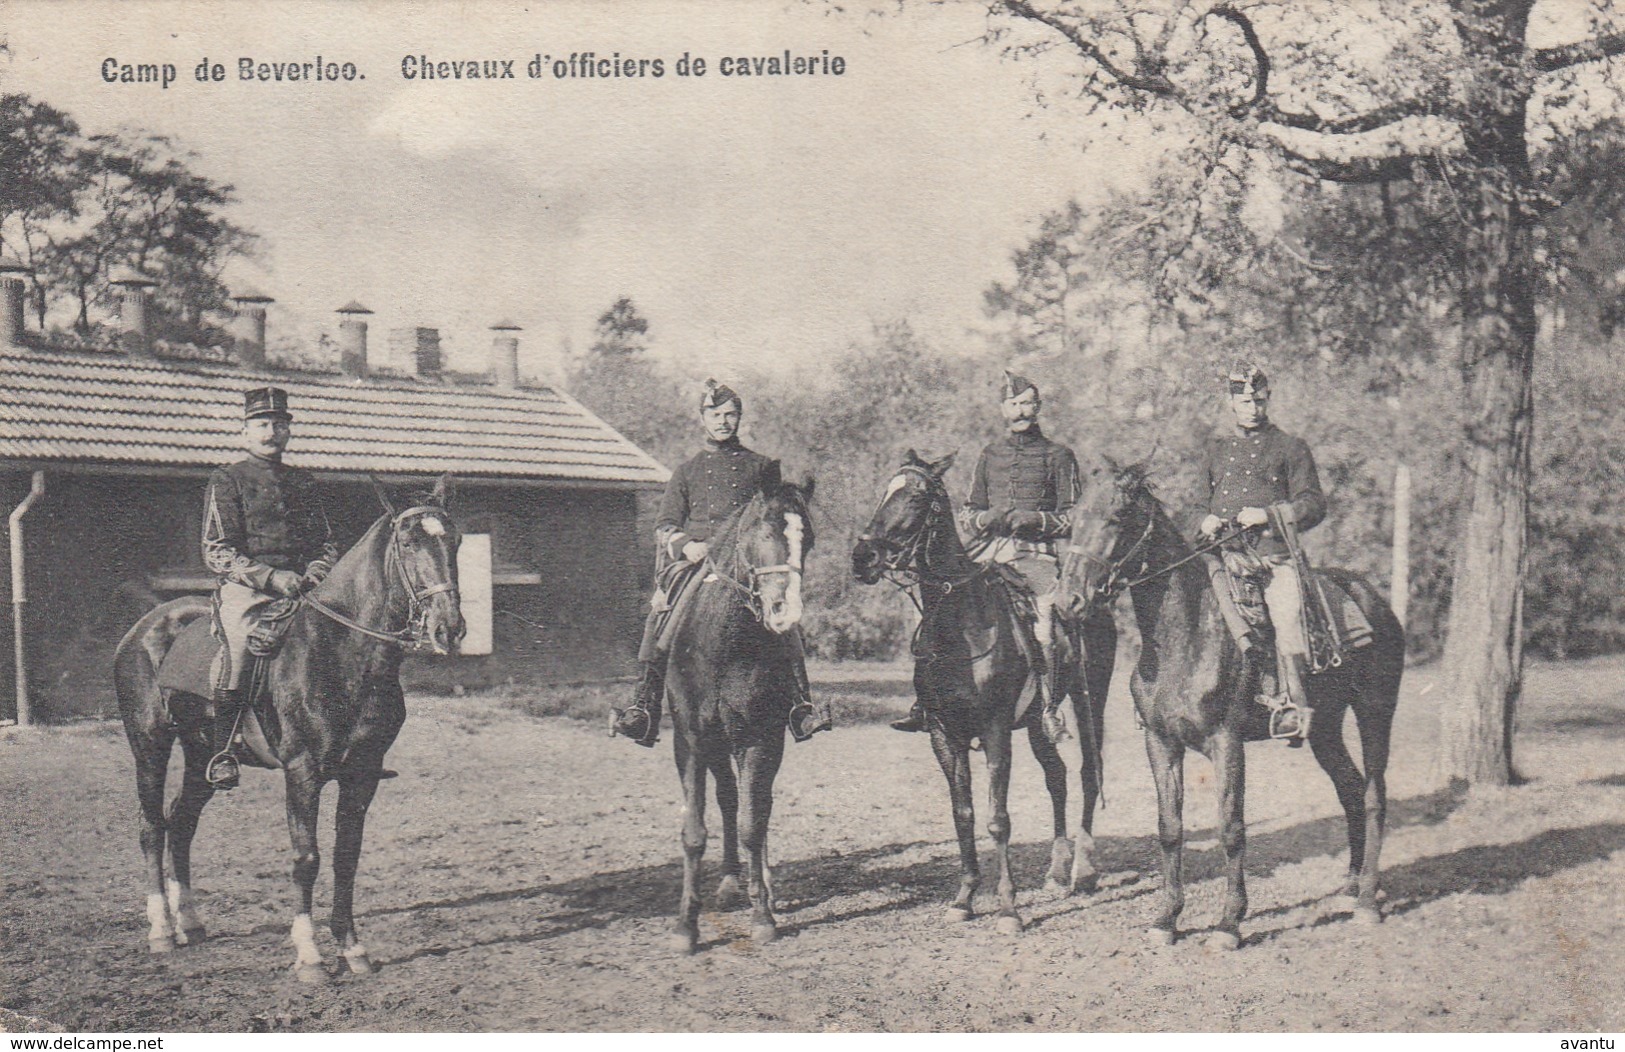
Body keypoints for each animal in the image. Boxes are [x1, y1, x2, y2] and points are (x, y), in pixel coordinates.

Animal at [113, 474, 464, 982]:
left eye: (455, 540)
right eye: (408, 541)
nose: (448, 628)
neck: (343, 650)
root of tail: (145, 626)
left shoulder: (361, 775)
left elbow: (346, 857)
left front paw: (352, 949)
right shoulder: (303, 773)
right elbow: (307, 858)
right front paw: (310, 955)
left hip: (202, 755)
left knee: (181, 823)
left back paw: (191, 923)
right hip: (149, 746)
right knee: (151, 826)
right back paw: (161, 929)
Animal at [659, 474, 812, 956]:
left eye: (808, 541)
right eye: (762, 534)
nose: (785, 614)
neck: (726, 643)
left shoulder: (760, 739)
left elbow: (752, 823)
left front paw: (762, 915)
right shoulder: (690, 740)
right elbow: (695, 831)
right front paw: (685, 926)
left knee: (755, 806)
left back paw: (761, 885)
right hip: (714, 745)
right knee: (727, 797)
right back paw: (729, 882)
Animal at [851, 448, 1118, 936]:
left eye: (917, 499)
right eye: (885, 491)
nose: (863, 557)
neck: (961, 624)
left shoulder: (995, 731)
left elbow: (997, 819)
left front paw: (1009, 908)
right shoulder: (944, 734)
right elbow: (964, 815)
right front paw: (964, 898)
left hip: (1091, 701)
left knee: (1089, 773)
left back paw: (1084, 871)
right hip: (1037, 722)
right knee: (1057, 776)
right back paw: (1056, 870)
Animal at [1059, 461, 1404, 949]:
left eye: (1116, 516)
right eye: (1073, 519)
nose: (1067, 601)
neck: (1183, 635)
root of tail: (1371, 597)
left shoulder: (1226, 742)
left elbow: (1231, 827)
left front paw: (1229, 922)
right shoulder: (1161, 743)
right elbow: (1169, 828)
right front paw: (1167, 918)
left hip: (1375, 711)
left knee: (1374, 796)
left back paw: (1369, 900)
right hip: (1324, 729)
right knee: (1351, 792)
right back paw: (1350, 887)